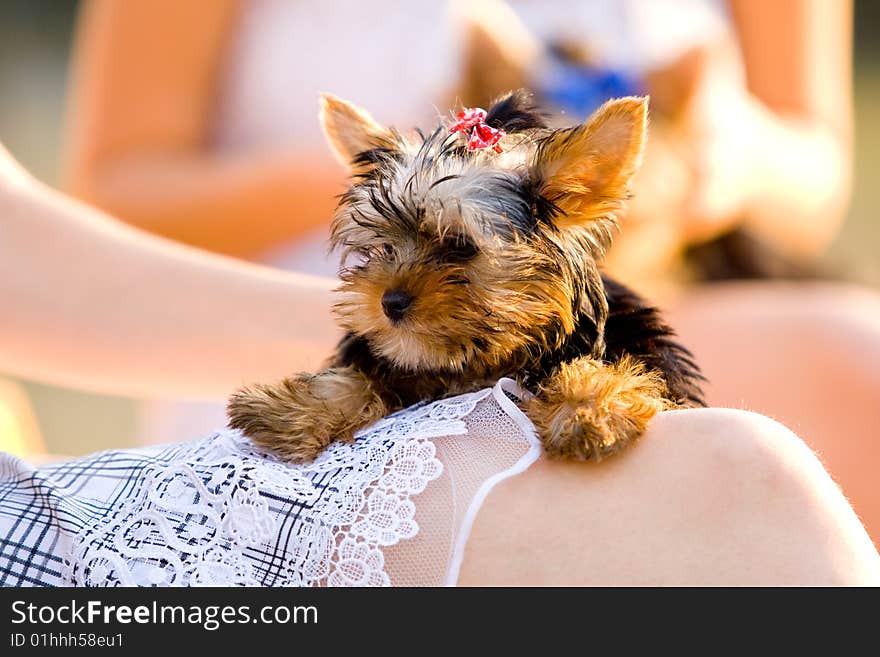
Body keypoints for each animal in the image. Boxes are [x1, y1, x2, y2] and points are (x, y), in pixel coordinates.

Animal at [229, 91, 708, 462]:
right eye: (384, 247)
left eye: (459, 246)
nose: (389, 302)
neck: (481, 361)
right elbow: (368, 373)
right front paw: (295, 407)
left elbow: (625, 371)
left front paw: (589, 406)